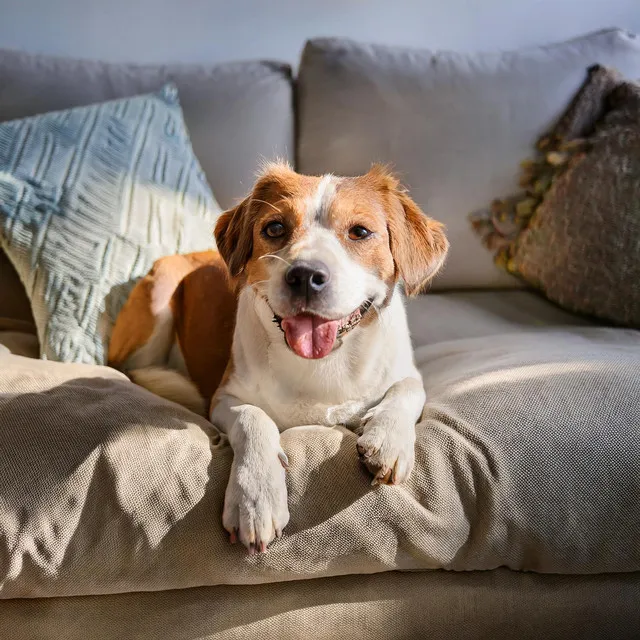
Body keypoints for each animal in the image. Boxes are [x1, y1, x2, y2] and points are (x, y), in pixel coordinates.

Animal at [107, 164, 448, 556]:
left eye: (360, 232)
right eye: (274, 228)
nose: (305, 276)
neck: (321, 365)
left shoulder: (406, 373)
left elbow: (408, 388)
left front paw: (388, 438)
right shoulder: (224, 397)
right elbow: (254, 418)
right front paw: (255, 497)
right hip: (160, 291)